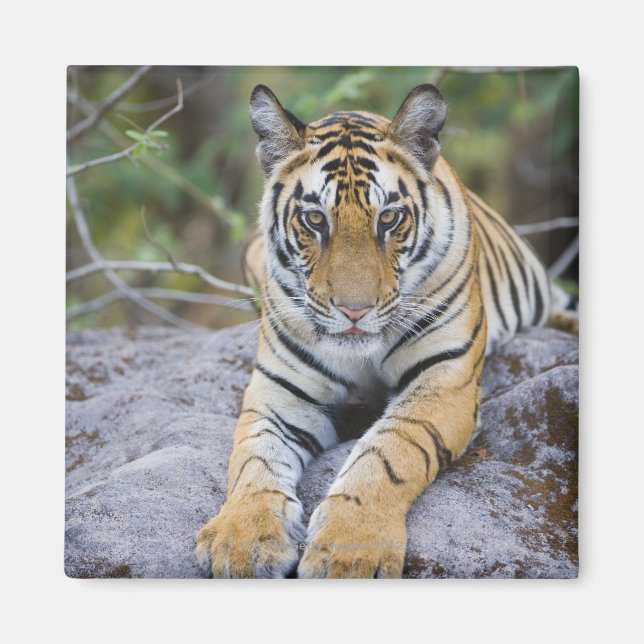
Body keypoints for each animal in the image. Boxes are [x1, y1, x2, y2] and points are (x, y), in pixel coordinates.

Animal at [195, 83, 575, 578]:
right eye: (315, 220)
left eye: (389, 218)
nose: (354, 311)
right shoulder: (279, 392)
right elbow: (253, 459)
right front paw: (243, 540)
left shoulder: (445, 382)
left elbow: (389, 452)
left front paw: (350, 551)